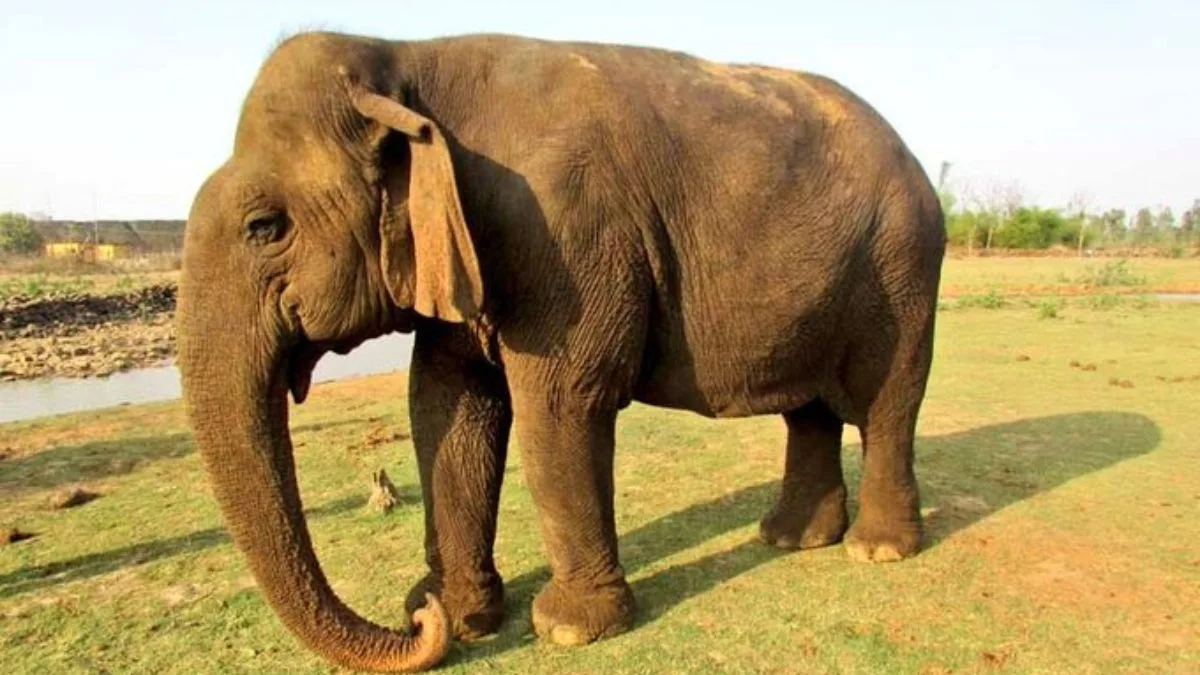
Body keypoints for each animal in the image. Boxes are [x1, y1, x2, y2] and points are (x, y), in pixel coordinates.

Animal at [177, 30, 945, 672]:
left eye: (264, 227)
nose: (416, 617)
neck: (407, 58)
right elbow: (447, 405)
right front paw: (463, 614)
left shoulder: (566, 235)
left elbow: (559, 403)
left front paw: (569, 629)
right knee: (809, 410)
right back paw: (790, 539)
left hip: (904, 266)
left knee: (888, 402)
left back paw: (876, 549)